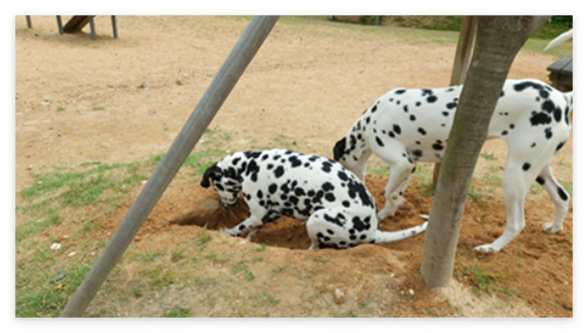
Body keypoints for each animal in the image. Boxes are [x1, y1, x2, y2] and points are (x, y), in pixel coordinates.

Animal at [202, 148, 428, 249]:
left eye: (216, 186)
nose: (224, 208)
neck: (249, 164)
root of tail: (371, 232)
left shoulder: (256, 214)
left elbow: (240, 226)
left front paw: (226, 232)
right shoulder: (272, 212)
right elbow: (256, 226)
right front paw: (250, 236)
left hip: (317, 218)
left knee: (316, 246)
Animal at [334, 79, 572, 253]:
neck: (371, 119)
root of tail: (562, 98)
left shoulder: (402, 163)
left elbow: (388, 191)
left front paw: (397, 205)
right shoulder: (409, 165)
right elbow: (394, 192)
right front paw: (387, 212)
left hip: (515, 177)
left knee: (517, 224)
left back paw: (491, 248)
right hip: (539, 170)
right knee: (562, 197)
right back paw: (554, 227)